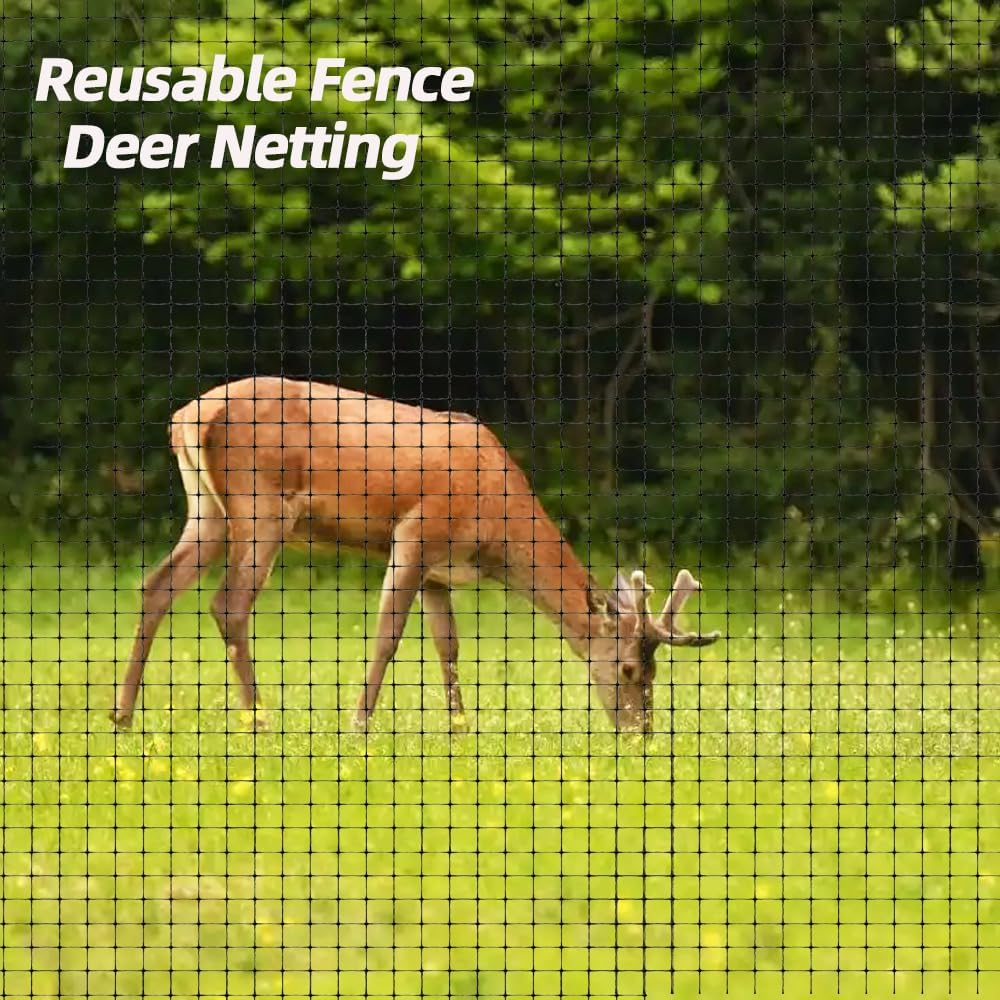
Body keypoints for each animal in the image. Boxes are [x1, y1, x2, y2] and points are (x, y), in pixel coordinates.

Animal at [110, 377, 720, 735]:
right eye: (629, 668)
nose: (640, 734)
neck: (496, 523)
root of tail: (187, 417)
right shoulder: (415, 531)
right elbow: (389, 633)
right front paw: (359, 724)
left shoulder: (439, 571)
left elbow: (448, 644)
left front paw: (460, 727)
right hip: (261, 504)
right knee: (228, 604)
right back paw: (259, 720)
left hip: (207, 509)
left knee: (155, 584)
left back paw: (121, 715)